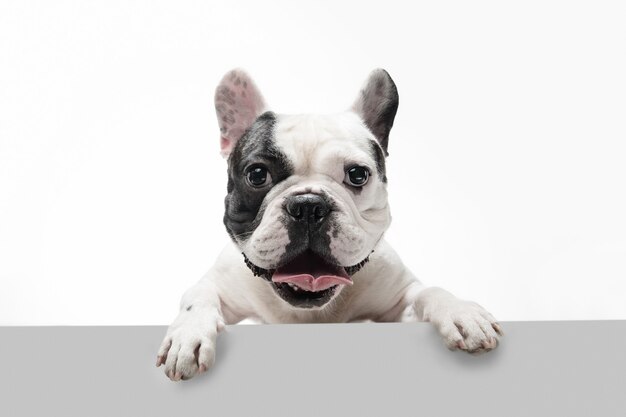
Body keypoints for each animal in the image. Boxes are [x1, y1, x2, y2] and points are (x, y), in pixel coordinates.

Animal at [156, 68, 502, 380]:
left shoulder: (400, 296)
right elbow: (198, 299)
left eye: (358, 175)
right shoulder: (218, 286)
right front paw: (187, 337)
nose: (309, 206)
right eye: (257, 174)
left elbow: (430, 291)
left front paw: (462, 313)